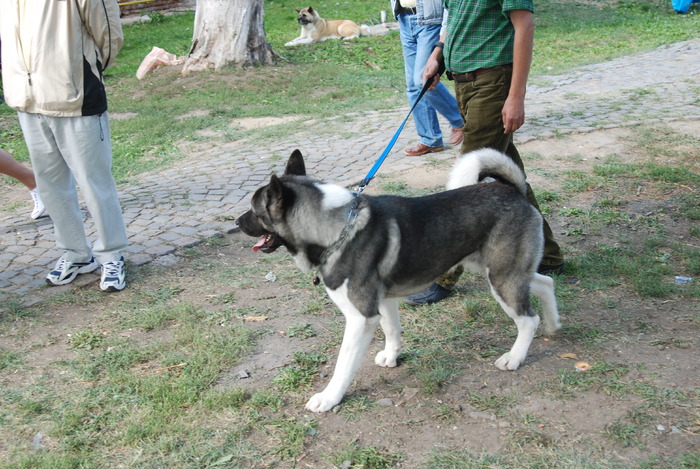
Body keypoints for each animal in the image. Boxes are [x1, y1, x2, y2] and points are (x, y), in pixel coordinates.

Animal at [238, 148, 560, 412]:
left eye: (255, 210)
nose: (238, 222)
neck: (339, 229)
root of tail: (513, 190)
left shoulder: (360, 317)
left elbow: (343, 365)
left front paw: (329, 398)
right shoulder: (384, 301)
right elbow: (392, 330)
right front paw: (392, 357)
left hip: (502, 279)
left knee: (527, 319)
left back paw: (515, 357)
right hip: (499, 271)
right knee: (544, 283)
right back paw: (553, 324)